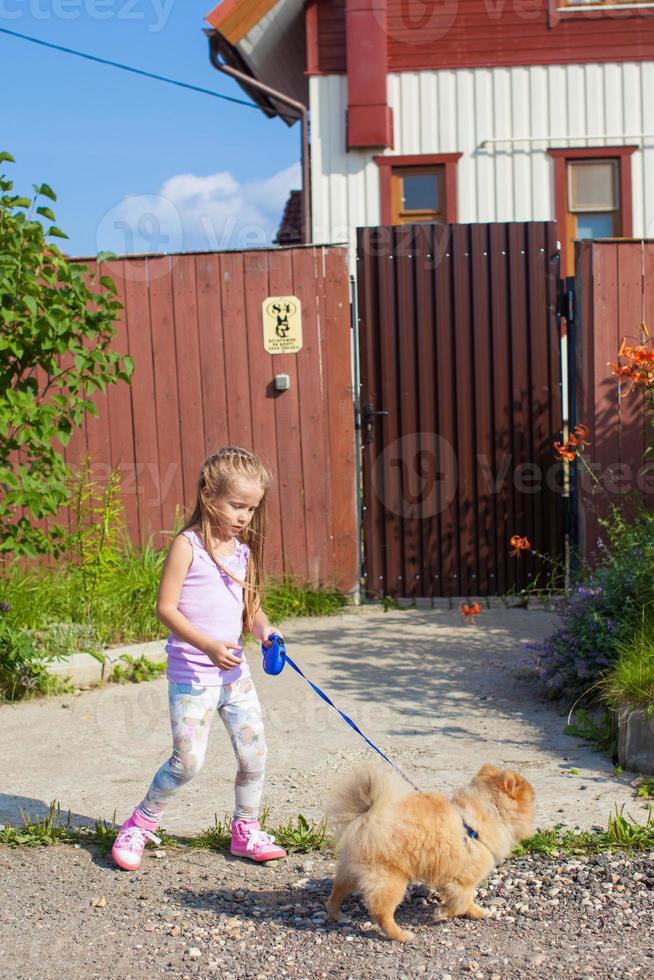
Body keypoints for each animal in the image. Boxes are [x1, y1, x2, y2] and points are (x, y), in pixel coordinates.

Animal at [326, 760, 536, 936]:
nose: (535, 797)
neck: (485, 816)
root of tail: (367, 817)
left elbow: (466, 901)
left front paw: (478, 912)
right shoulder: (463, 880)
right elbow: (460, 902)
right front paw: (441, 913)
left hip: (349, 871)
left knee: (337, 892)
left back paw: (337, 915)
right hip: (390, 879)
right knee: (381, 912)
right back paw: (401, 935)